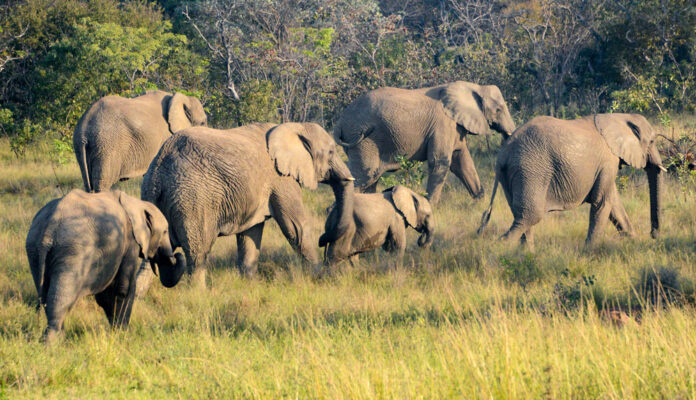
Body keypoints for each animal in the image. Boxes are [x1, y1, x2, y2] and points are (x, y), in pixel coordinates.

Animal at [25, 189, 186, 342]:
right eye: (165, 231)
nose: (177, 255)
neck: (136, 203)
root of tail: (49, 228)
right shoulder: (130, 240)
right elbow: (123, 288)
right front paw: (123, 333)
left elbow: (105, 294)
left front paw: (115, 330)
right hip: (72, 250)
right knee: (60, 296)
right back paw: (53, 342)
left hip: (34, 249)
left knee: (45, 294)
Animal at [73, 90, 207, 193]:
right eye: (203, 123)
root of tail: (84, 128)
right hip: (107, 145)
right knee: (102, 184)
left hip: (82, 146)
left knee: (88, 185)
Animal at [140, 122, 355, 286]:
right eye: (331, 152)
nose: (324, 241)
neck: (292, 126)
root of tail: (158, 171)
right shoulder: (280, 178)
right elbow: (296, 227)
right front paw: (318, 278)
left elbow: (251, 234)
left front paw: (249, 284)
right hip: (192, 201)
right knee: (197, 254)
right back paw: (198, 296)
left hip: (154, 200)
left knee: (151, 258)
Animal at [334, 81, 516, 205]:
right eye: (499, 110)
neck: (474, 87)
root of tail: (340, 122)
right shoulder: (443, 124)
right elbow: (440, 162)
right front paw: (430, 207)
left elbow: (462, 163)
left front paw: (480, 202)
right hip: (363, 141)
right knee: (365, 174)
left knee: (371, 179)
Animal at [477, 113, 666, 249]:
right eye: (652, 141)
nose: (654, 235)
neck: (617, 117)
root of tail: (503, 154)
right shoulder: (608, 161)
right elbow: (602, 202)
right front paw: (589, 252)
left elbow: (614, 204)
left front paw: (635, 242)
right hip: (531, 169)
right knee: (530, 215)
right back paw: (501, 251)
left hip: (514, 174)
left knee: (521, 216)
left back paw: (526, 255)